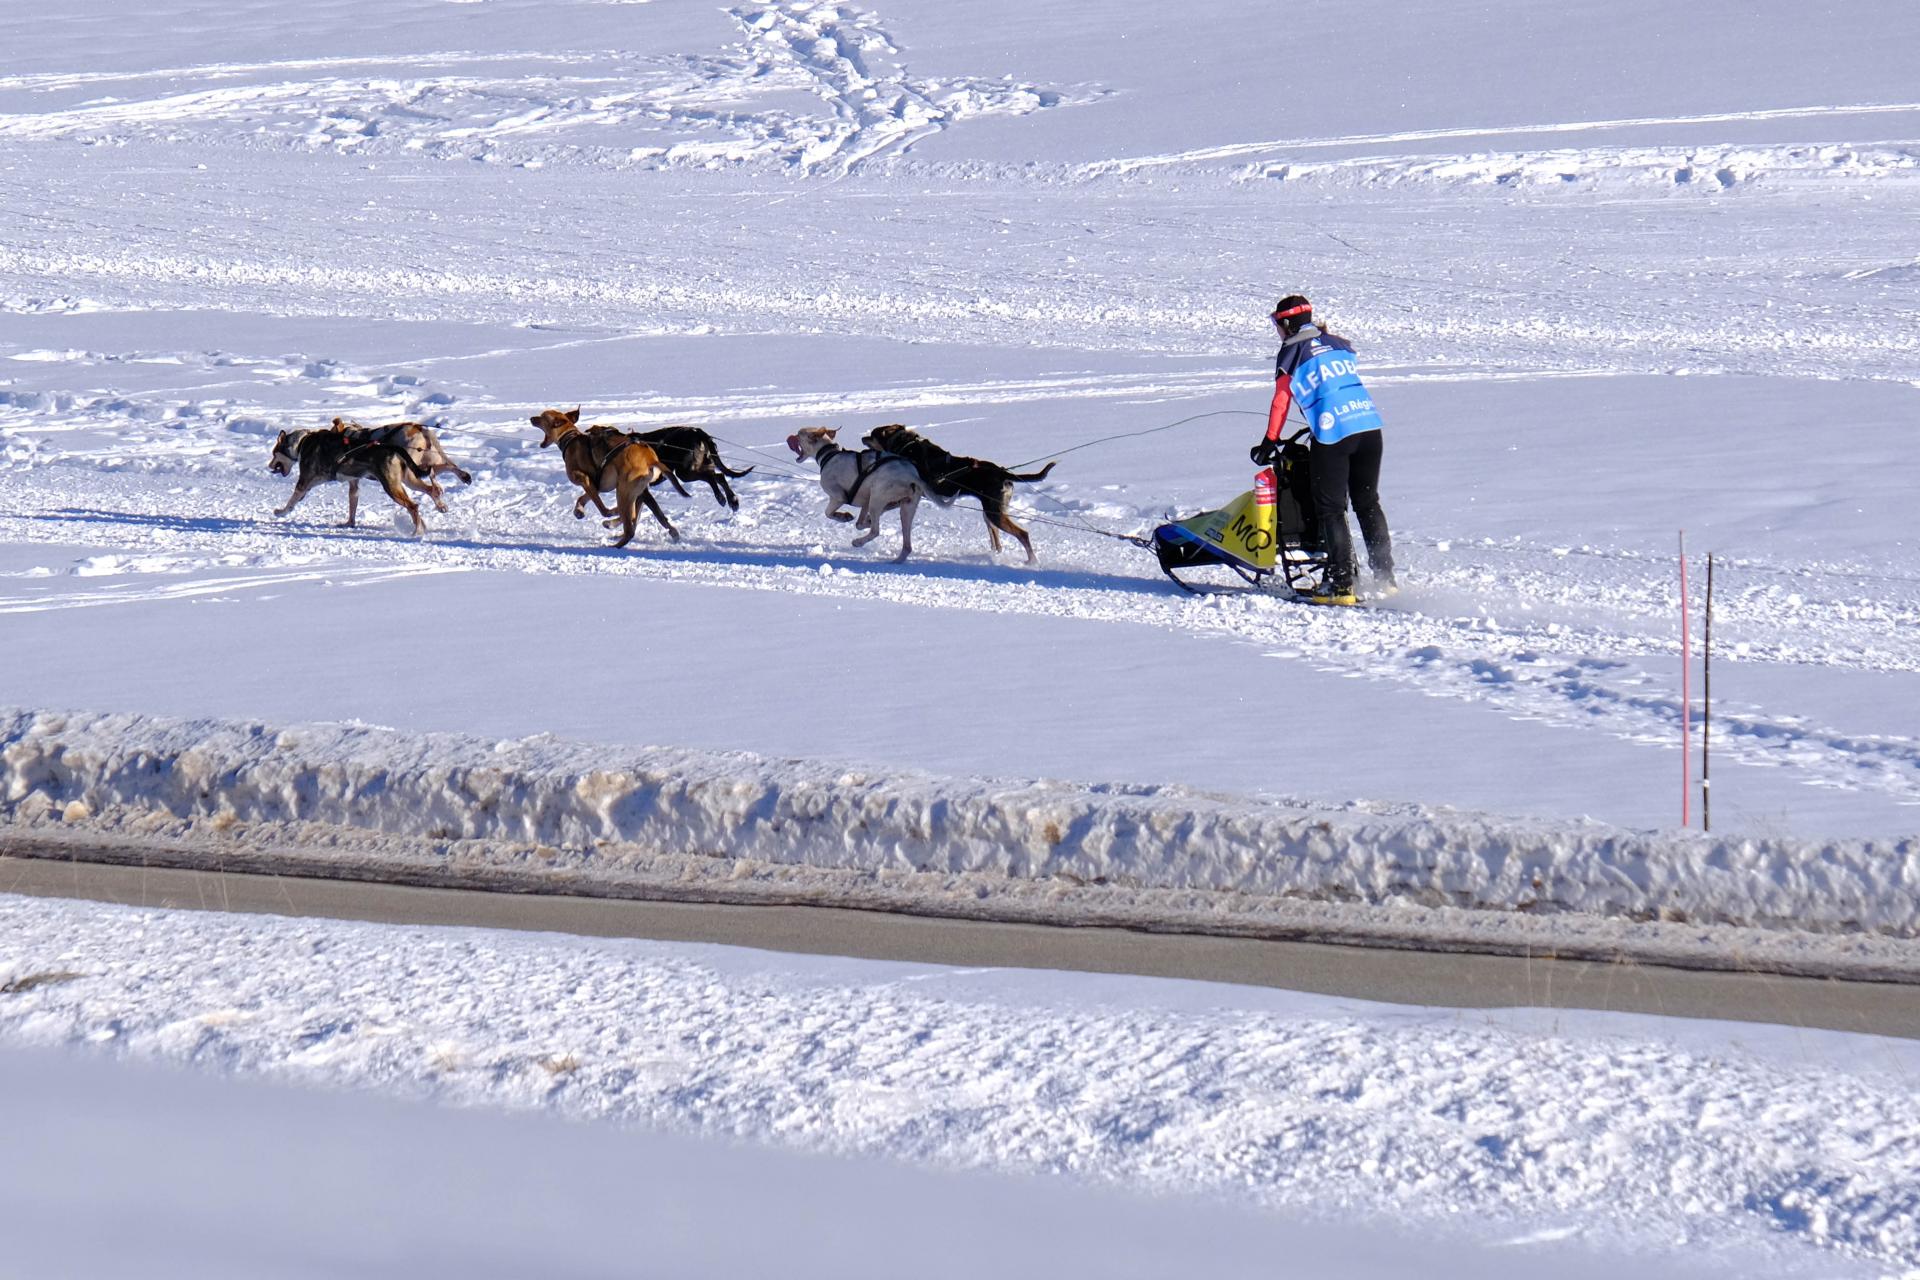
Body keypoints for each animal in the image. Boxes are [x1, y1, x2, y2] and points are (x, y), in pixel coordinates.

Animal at [533, 408, 683, 548]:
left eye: (542, 416)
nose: (531, 418)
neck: (570, 438)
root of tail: (650, 458)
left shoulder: (584, 478)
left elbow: (603, 509)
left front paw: (610, 512)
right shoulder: (595, 485)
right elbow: (582, 499)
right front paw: (579, 511)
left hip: (623, 491)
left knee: (630, 528)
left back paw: (614, 545)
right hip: (637, 491)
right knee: (648, 517)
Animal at [864, 422, 1059, 564]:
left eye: (872, 434)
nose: (862, 437)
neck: (906, 446)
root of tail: (1003, 473)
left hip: (994, 513)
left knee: (1023, 534)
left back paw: (1031, 561)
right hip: (990, 513)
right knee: (996, 537)